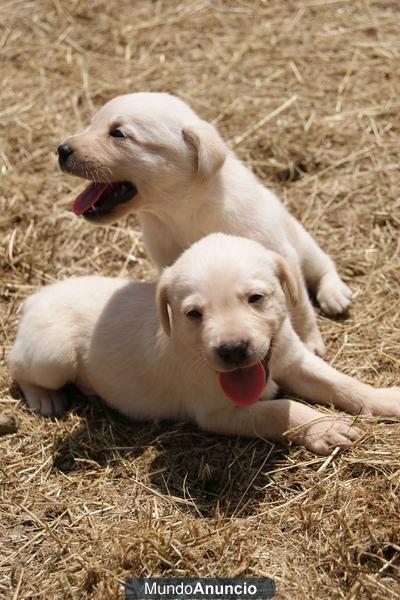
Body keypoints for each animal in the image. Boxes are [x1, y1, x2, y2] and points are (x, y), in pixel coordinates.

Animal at [7, 234, 398, 454]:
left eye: (256, 298)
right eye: (193, 314)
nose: (233, 350)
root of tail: (35, 297)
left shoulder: (295, 360)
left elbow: (341, 382)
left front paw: (384, 399)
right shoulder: (218, 414)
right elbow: (283, 409)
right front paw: (324, 428)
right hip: (51, 357)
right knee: (17, 364)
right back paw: (45, 398)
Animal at [57, 92, 352, 356]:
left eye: (118, 133)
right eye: (92, 123)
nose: (61, 150)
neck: (178, 213)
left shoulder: (281, 254)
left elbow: (299, 304)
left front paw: (310, 341)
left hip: (301, 239)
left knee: (321, 265)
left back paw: (334, 293)